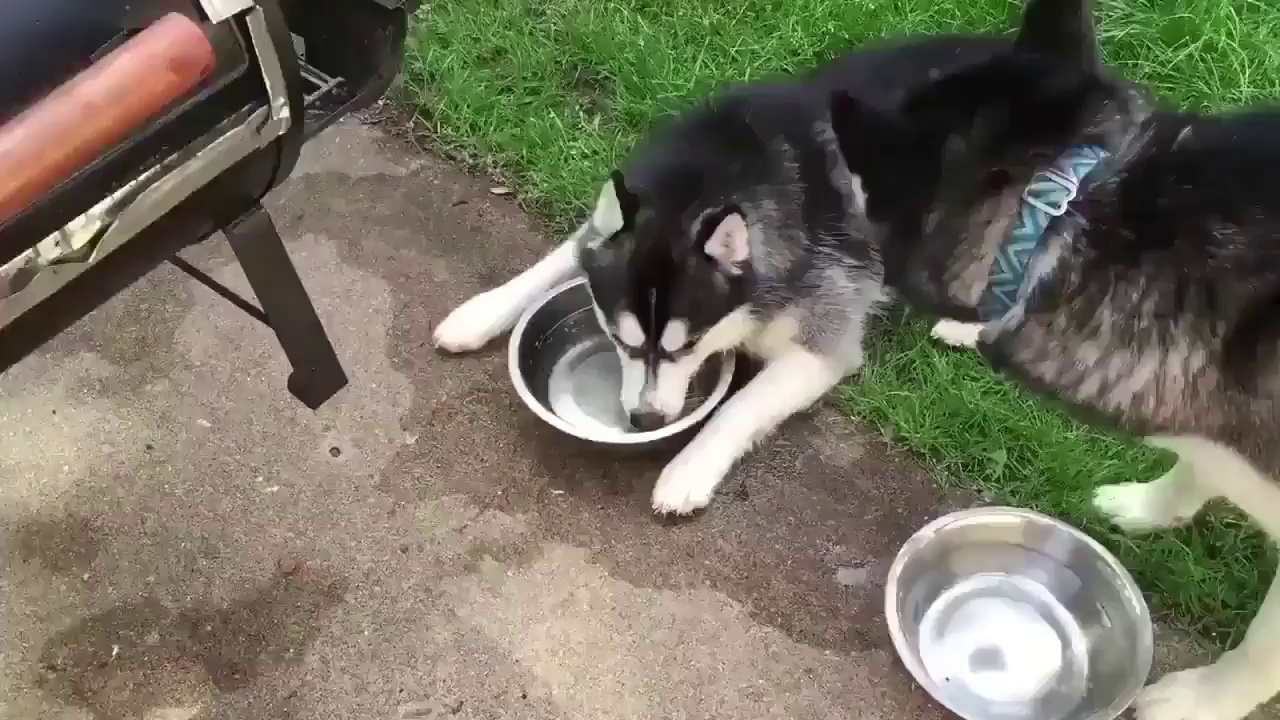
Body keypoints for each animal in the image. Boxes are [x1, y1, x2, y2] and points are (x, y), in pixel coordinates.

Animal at [432, 34, 1011, 515]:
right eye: (620, 341)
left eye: (689, 347)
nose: (645, 422)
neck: (705, 187)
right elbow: (562, 256)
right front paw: (481, 311)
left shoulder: (823, 342)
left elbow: (738, 407)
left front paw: (687, 468)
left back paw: (971, 325)